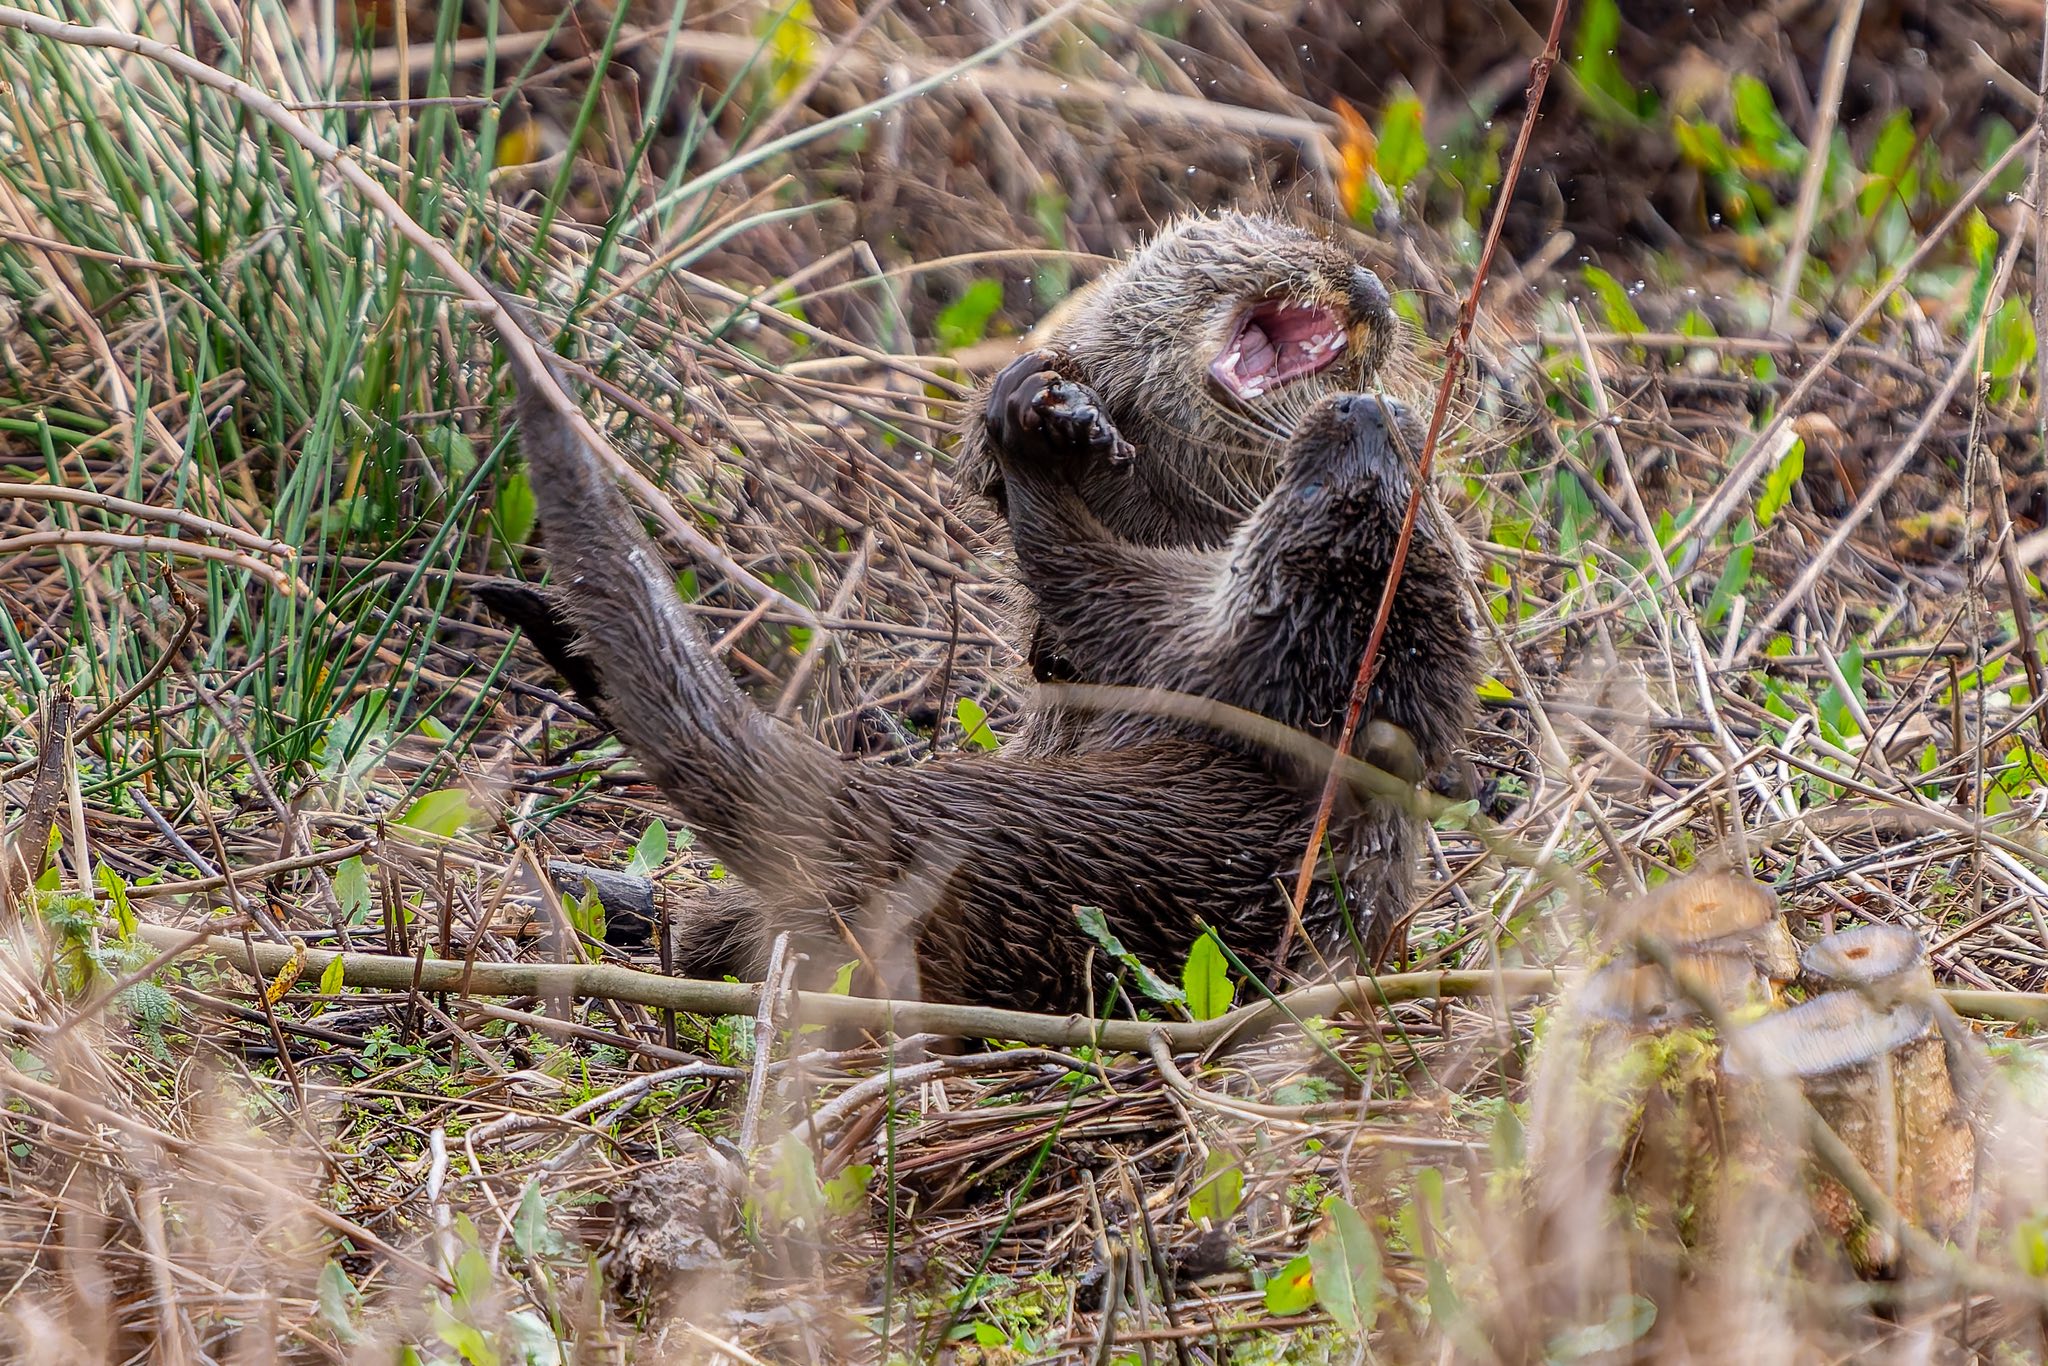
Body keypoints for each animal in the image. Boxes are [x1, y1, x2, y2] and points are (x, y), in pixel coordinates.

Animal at [503, 339, 1477, 1011]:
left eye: (1305, 491)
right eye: (1417, 481)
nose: (1361, 403)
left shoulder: (1167, 635)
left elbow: (1073, 569)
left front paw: (1027, 434)